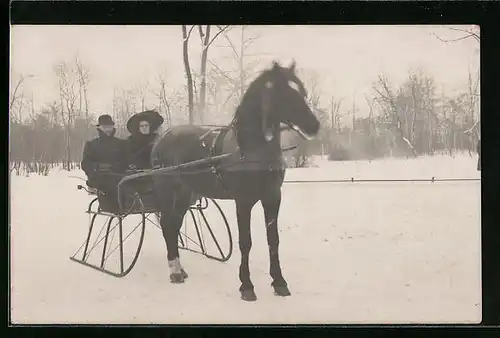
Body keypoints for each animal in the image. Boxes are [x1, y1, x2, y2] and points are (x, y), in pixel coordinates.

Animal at [149, 60, 320, 302]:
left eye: (301, 92)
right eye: (285, 93)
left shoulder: (272, 198)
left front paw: (279, 282)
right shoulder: (243, 201)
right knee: (166, 225)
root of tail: (162, 138)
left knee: (173, 226)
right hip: (167, 191)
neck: (251, 149)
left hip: (185, 195)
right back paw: (174, 271)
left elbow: (273, 240)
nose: (314, 126)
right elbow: (245, 242)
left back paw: (180, 270)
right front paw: (246, 286)